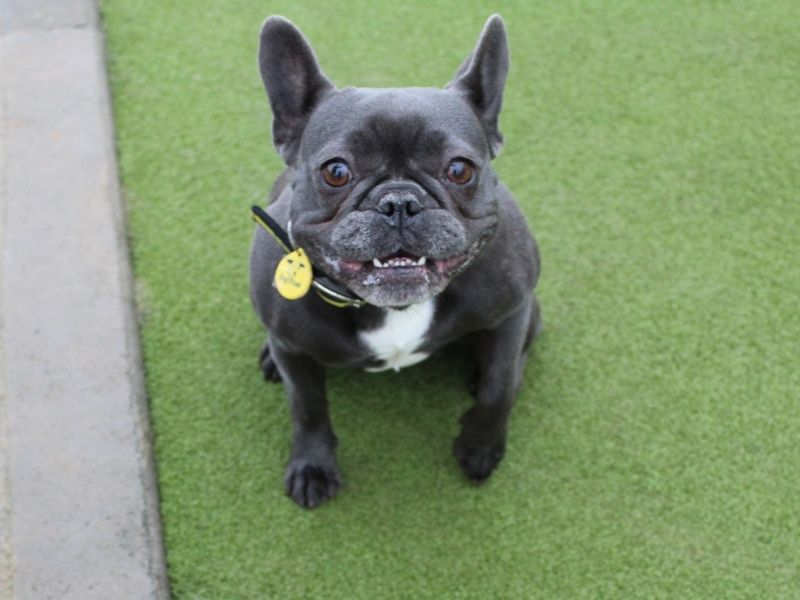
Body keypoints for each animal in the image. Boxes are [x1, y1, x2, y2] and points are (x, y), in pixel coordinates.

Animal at [247, 14, 540, 506]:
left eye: (460, 169)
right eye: (336, 171)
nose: (399, 201)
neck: (395, 308)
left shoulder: (512, 310)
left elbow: (499, 387)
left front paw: (480, 446)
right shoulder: (297, 357)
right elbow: (307, 406)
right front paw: (313, 465)